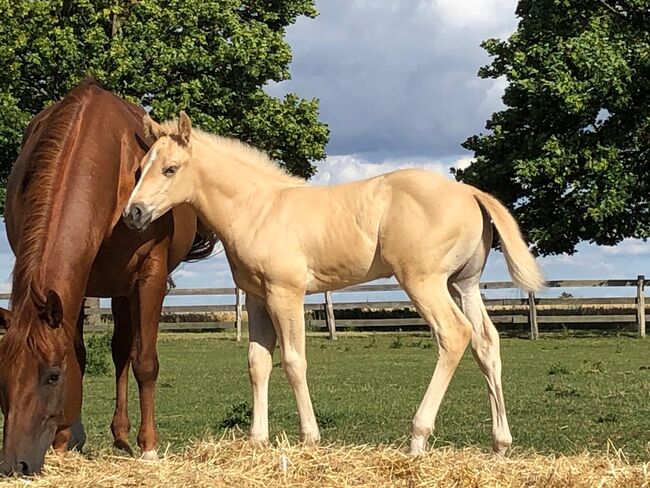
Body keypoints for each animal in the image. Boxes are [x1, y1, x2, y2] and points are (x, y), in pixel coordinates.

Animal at [0, 79, 215, 472]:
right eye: (1, 373)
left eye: (52, 375)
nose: (15, 465)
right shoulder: (77, 286)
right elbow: (80, 356)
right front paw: (64, 441)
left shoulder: (150, 276)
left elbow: (144, 361)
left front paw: (149, 447)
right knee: (118, 350)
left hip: (126, 289)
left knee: (124, 352)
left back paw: (126, 437)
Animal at [123, 112, 540, 456]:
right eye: (140, 168)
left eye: (171, 169)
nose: (133, 213)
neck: (258, 208)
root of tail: (469, 191)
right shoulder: (257, 299)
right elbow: (258, 363)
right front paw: (257, 441)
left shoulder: (285, 295)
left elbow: (293, 362)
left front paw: (309, 438)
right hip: (463, 284)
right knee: (486, 342)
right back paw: (500, 444)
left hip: (425, 282)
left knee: (454, 334)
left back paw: (417, 439)